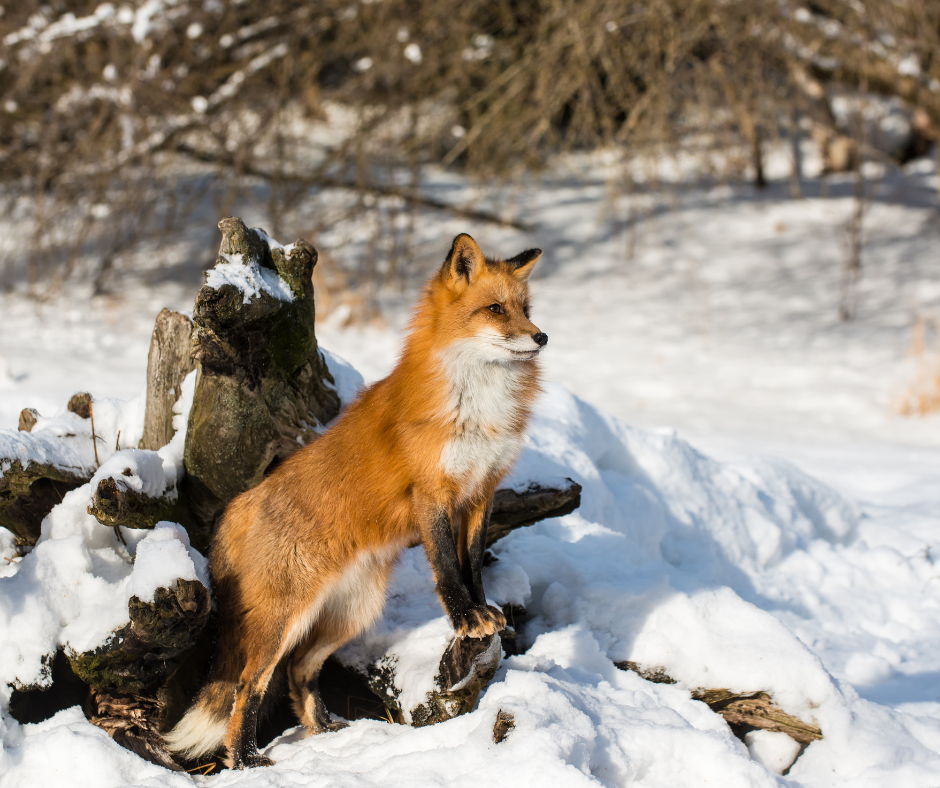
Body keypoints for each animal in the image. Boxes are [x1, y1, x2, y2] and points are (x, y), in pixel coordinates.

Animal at [165, 234, 548, 768]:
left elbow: (472, 562)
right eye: (495, 309)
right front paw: (464, 617)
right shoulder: (431, 493)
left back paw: (324, 732)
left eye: (526, 310)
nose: (542, 337)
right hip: (281, 622)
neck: (477, 405)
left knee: (298, 671)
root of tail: (237, 507)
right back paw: (244, 761)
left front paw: (482, 612)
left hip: (349, 614)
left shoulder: (480, 492)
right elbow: (447, 567)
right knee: (247, 685)